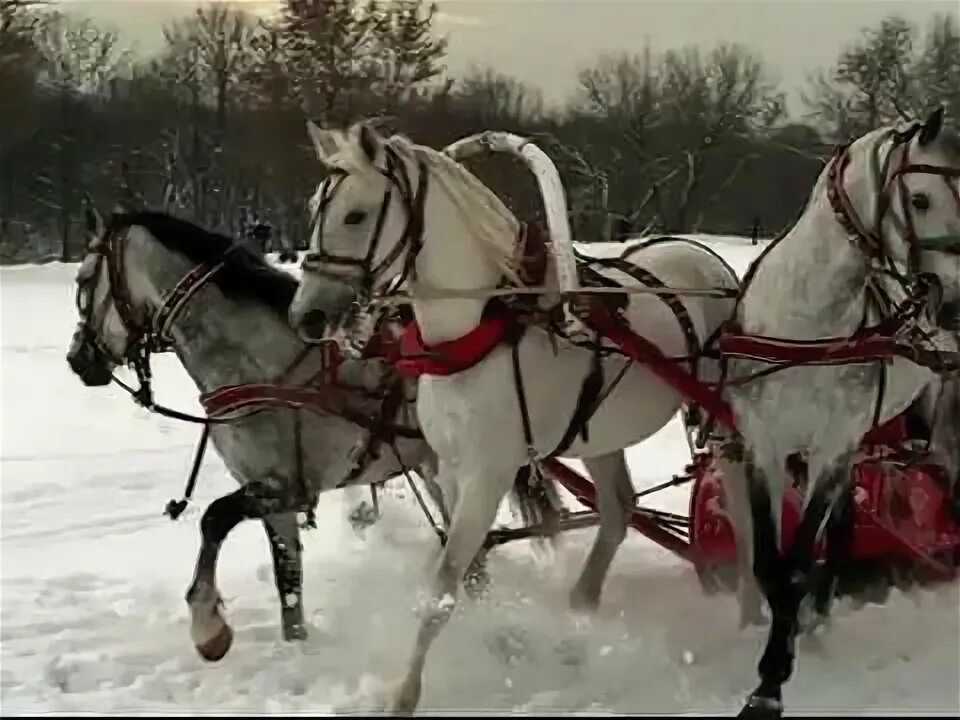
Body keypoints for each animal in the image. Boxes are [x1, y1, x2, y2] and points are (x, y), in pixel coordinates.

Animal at [288, 121, 740, 712]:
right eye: (314, 207)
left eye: (356, 215)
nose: (307, 315)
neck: (478, 329)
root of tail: (711, 263)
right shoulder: (450, 469)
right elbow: (467, 570)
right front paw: (501, 640)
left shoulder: (489, 473)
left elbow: (444, 582)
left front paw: (404, 693)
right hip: (600, 437)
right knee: (618, 511)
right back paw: (581, 607)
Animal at [712, 105, 960, 716]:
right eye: (920, 199)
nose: (959, 305)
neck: (809, 326)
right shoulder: (766, 443)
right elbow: (771, 563)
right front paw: (782, 652)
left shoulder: (830, 446)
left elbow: (800, 563)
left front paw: (771, 681)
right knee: (846, 523)